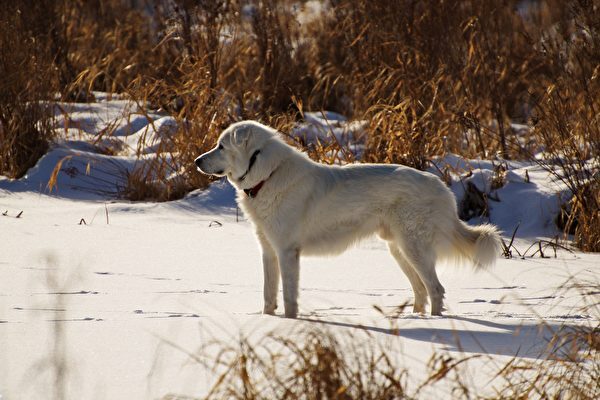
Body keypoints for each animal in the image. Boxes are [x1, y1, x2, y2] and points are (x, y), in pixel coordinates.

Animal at [197, 120, 502, 318]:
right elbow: (268, 295)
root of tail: (440, 186)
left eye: (220, 146)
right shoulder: (268, 251)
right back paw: (414, 319)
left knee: (435, 289)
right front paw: (267, 321)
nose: (197, 161)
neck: (267, 175)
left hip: (413, 249)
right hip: (399, 250)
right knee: (421, 291)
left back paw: (435, 323)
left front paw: (289, 324)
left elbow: (288, 297)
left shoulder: (287, 252)